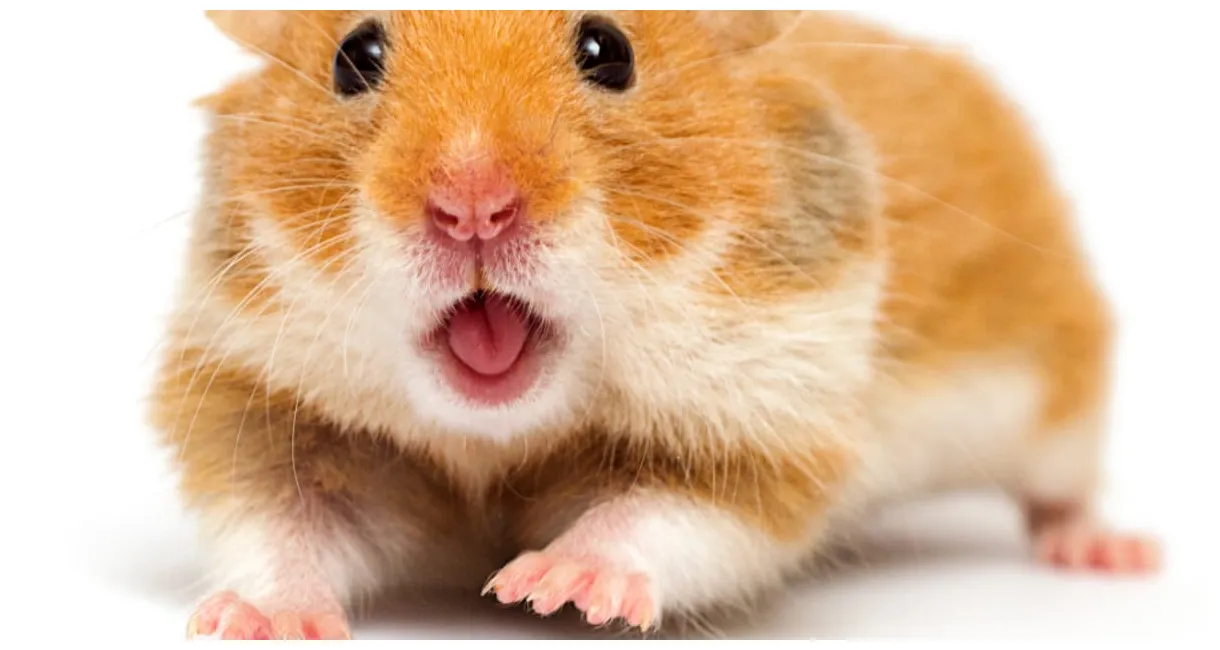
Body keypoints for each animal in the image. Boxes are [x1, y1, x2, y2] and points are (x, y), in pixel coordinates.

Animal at [152, 10, 1160, 640]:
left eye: (609, 51)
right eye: (355, 57)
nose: (473, 207)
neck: (498, 436)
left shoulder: (769, 427)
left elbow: (658, 513)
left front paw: (548, 586)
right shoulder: (269, 404)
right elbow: (283, 525)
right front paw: (254, 621)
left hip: (1059, 400)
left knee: (1060, 488)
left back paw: (1109, 553)